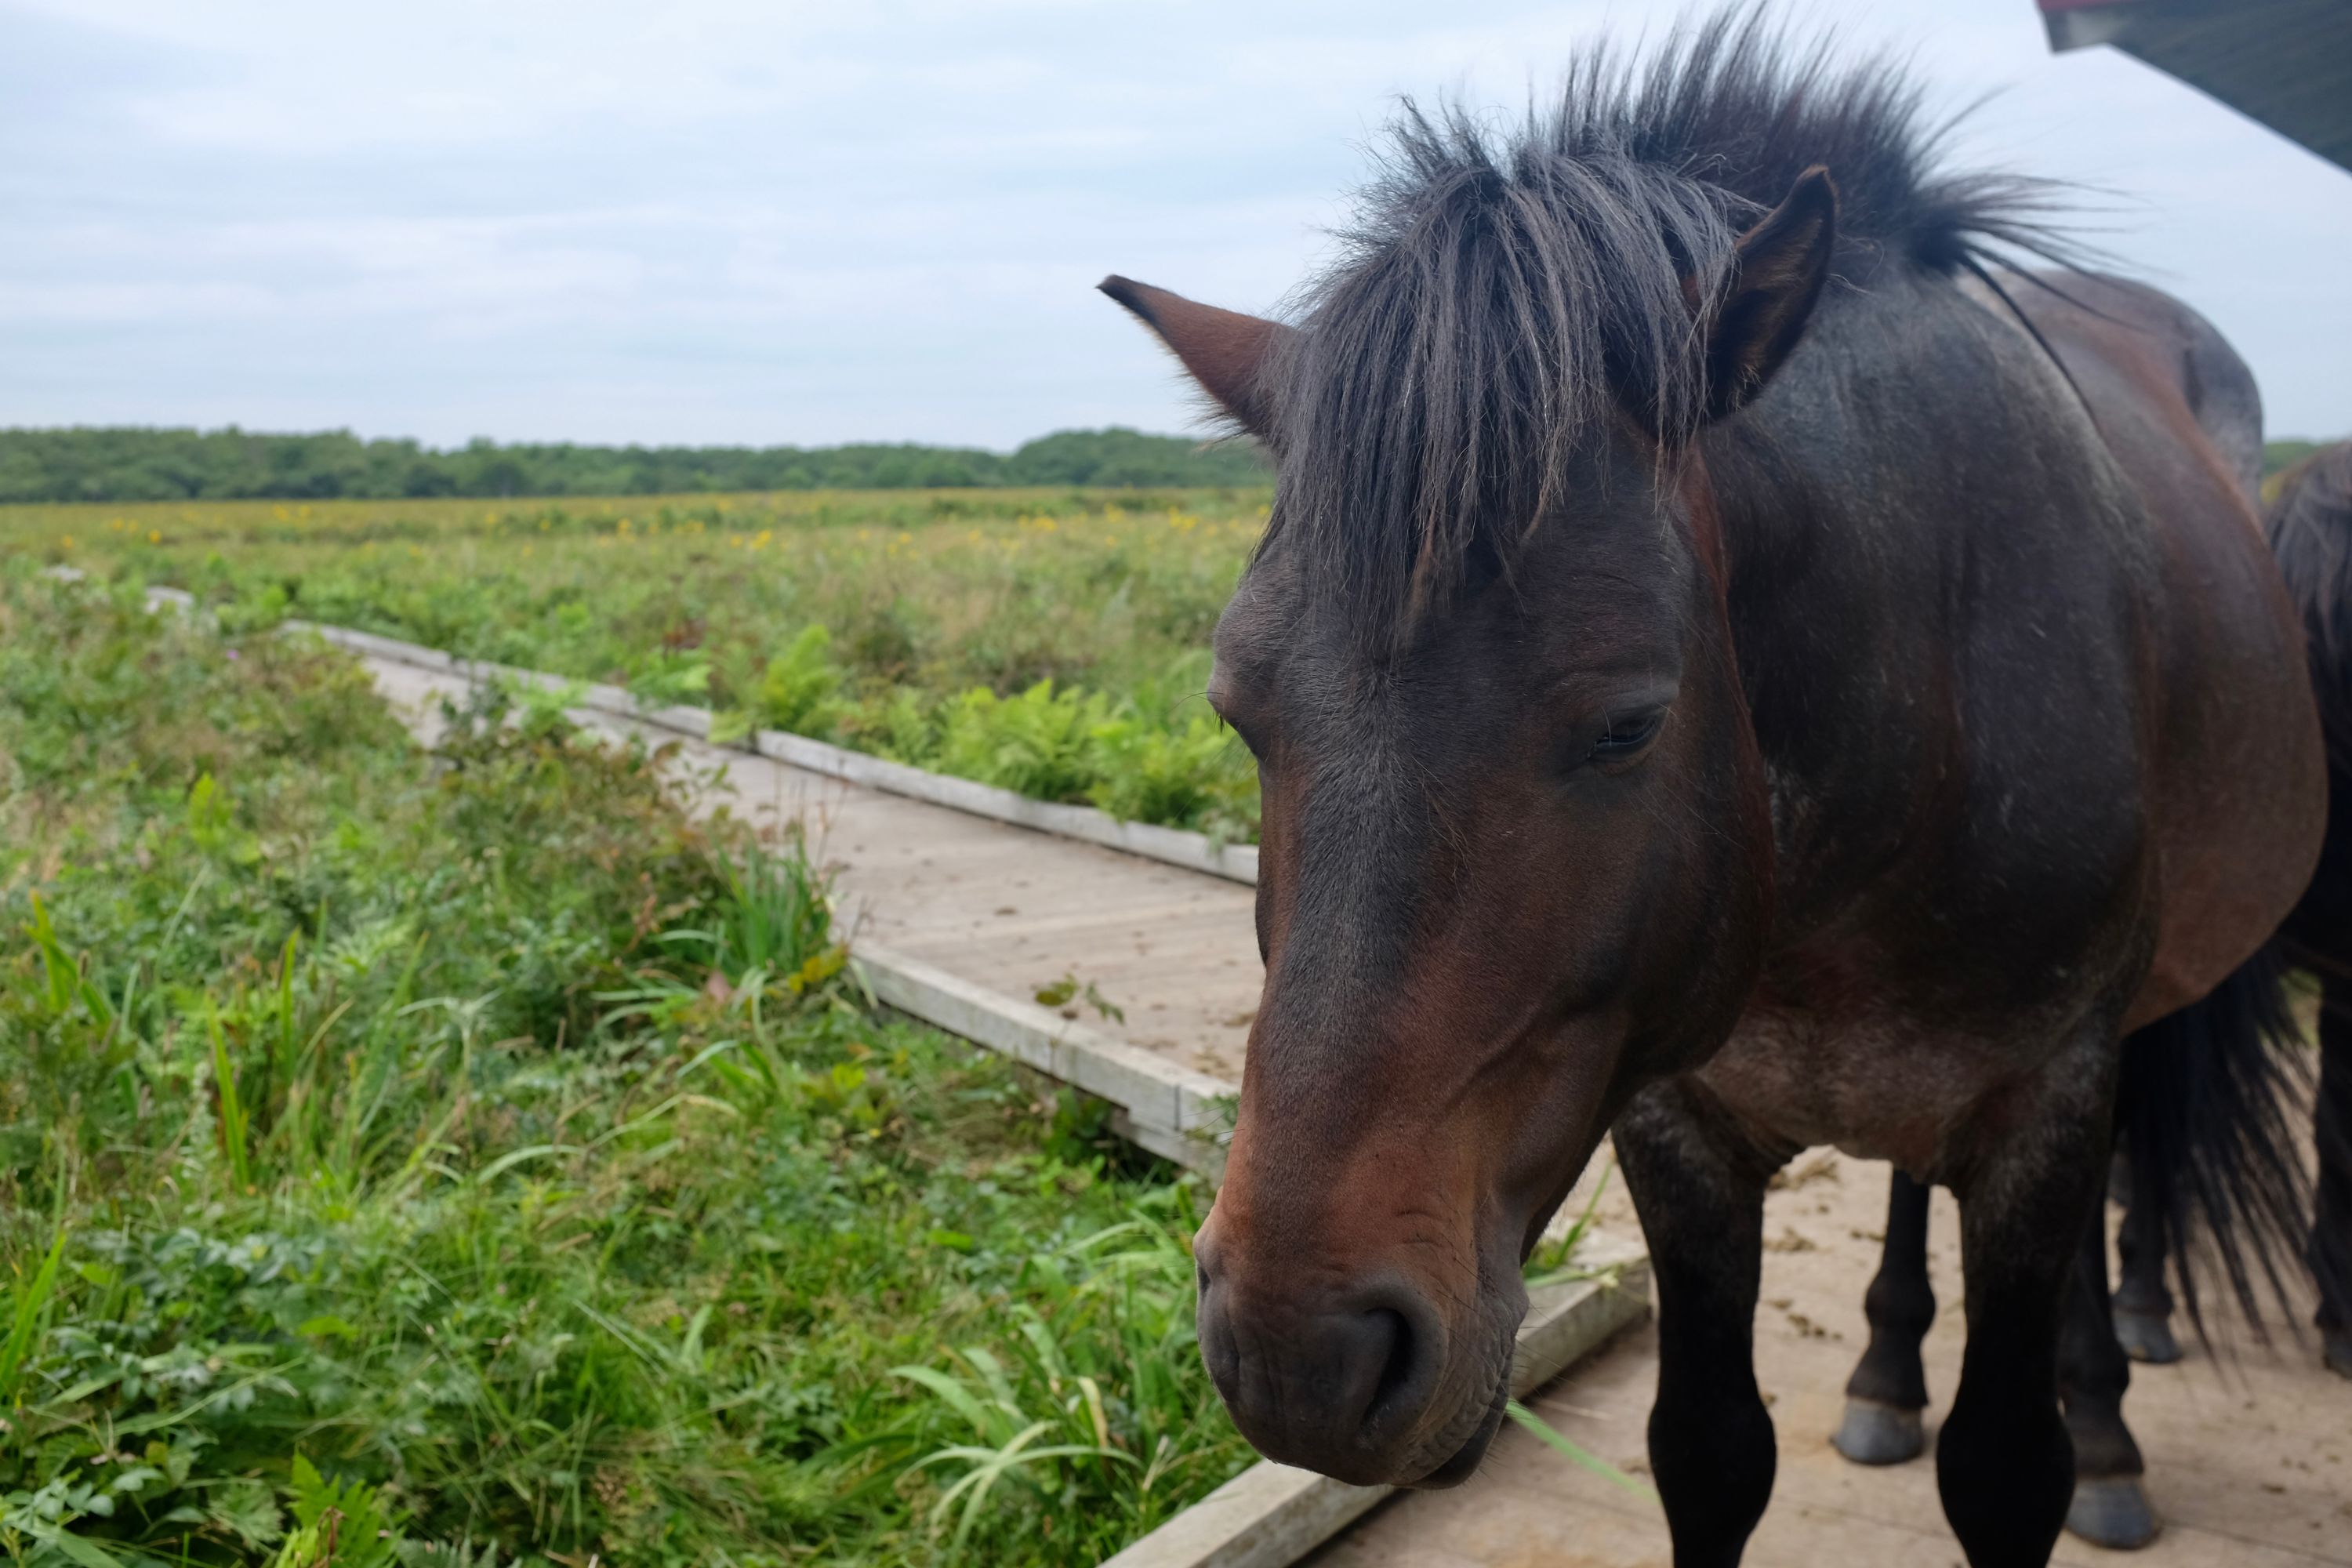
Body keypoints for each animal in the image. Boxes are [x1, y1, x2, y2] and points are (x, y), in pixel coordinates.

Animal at [1101, 15, 2314, 1568]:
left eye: (1629, 724)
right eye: (1237, 709)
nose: (1303, 1354)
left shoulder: (2045, 1106)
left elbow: (2005, 1466)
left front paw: (2070, 1436)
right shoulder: (1677, 1129)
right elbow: (1712, 1453)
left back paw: (2107, 1420)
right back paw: (1883, 1371)